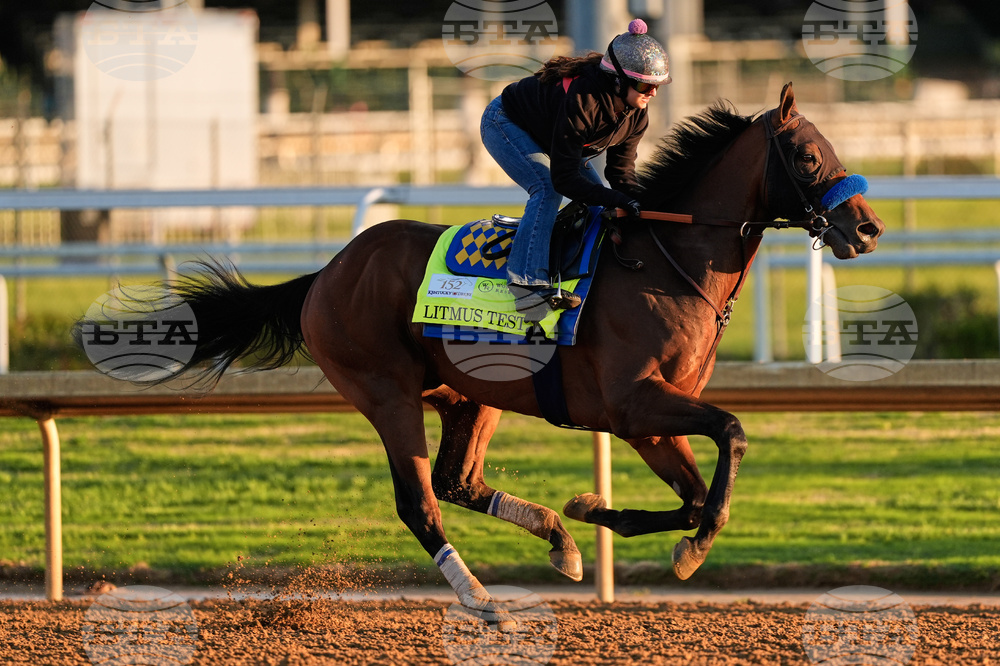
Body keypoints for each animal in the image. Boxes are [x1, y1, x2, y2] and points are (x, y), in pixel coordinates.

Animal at [77, 83, 883, 619]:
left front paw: (598, 513)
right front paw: (687, 544)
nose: (867, 227)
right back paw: (479, 598)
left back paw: (558, 538)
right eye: (807, 153)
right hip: (386, 394)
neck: (663, 258)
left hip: (470, 393)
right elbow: (731, 436)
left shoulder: (647, 419)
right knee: (420, 500)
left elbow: (691, 490)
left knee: (459, 481)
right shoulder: (632, 405)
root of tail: (328, 272)